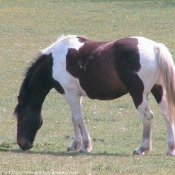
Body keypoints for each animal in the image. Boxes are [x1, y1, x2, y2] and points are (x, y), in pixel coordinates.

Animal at [14, 34, 175, 155]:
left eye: (21, 117)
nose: (23, 144)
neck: (55, 61)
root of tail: (155, 47)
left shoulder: (71, 95)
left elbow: (79, 119)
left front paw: (85, 146)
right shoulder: (75, 96)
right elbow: (74, 119)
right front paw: (75, 144)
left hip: (138, 94)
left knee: (147, 116)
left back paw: (142, 148)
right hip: (158, 90)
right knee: (167, 115)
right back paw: (170, 148)